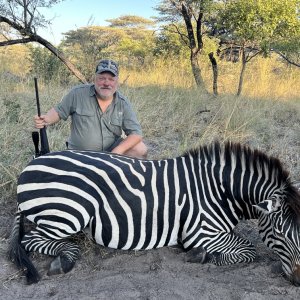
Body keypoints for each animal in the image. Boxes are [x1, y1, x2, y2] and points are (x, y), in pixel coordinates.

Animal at [8, 142, 298, 284]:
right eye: (280, 233)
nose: (297, 280)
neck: (221, 192)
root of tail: (32, 163)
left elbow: (246, 248)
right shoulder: (201, 232)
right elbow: (249, 250)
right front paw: (202, 256)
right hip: (70, 212)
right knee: (32, 240)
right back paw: (65, 259)